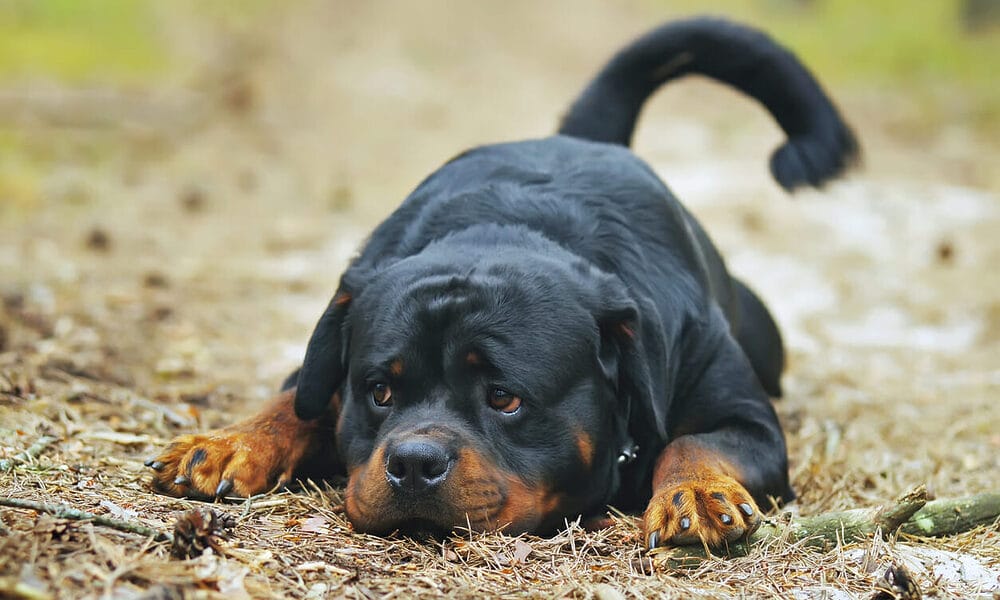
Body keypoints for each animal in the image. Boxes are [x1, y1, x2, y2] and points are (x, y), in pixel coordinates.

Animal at [146, 15, 860, 548]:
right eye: (378, 391)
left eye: (505, 398)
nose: (413, 463)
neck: (509, 230)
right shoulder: (326, 362)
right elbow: (296, 401)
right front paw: (228, 441)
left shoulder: (749, 422)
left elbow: (693, 441)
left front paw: (698, 492)